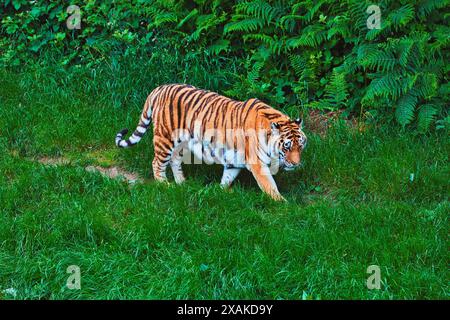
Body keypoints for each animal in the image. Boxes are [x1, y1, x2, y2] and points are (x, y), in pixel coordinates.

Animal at [114, 84, 308, 201]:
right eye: (287, 147)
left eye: (301, 146)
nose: (296, 164)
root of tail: (159, 88)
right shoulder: (258, 164)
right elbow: (269, 185)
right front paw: (282, 204)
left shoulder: (233, 160)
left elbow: (227, 177)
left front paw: (218, 191)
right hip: (165, 138)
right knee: (157, 163)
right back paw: (165, 185)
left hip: (182, 143)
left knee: (174, 160)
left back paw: (182, 183)